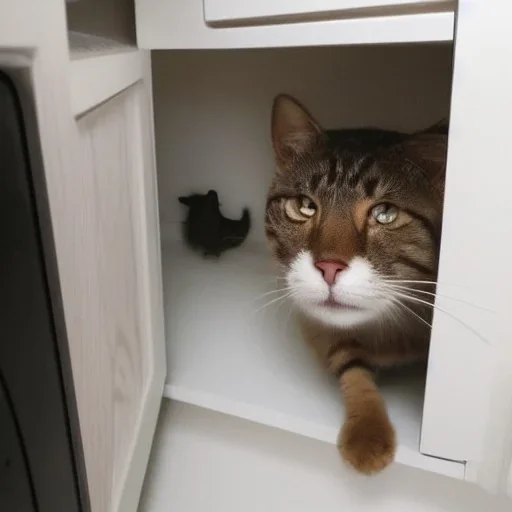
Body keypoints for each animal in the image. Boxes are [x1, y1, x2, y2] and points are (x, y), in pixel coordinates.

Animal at [266, 95, 446, 476]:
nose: (329, 267)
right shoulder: (317, 324)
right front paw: (368, 430)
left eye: (385, 213)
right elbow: (350, 364)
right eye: (304, 206)